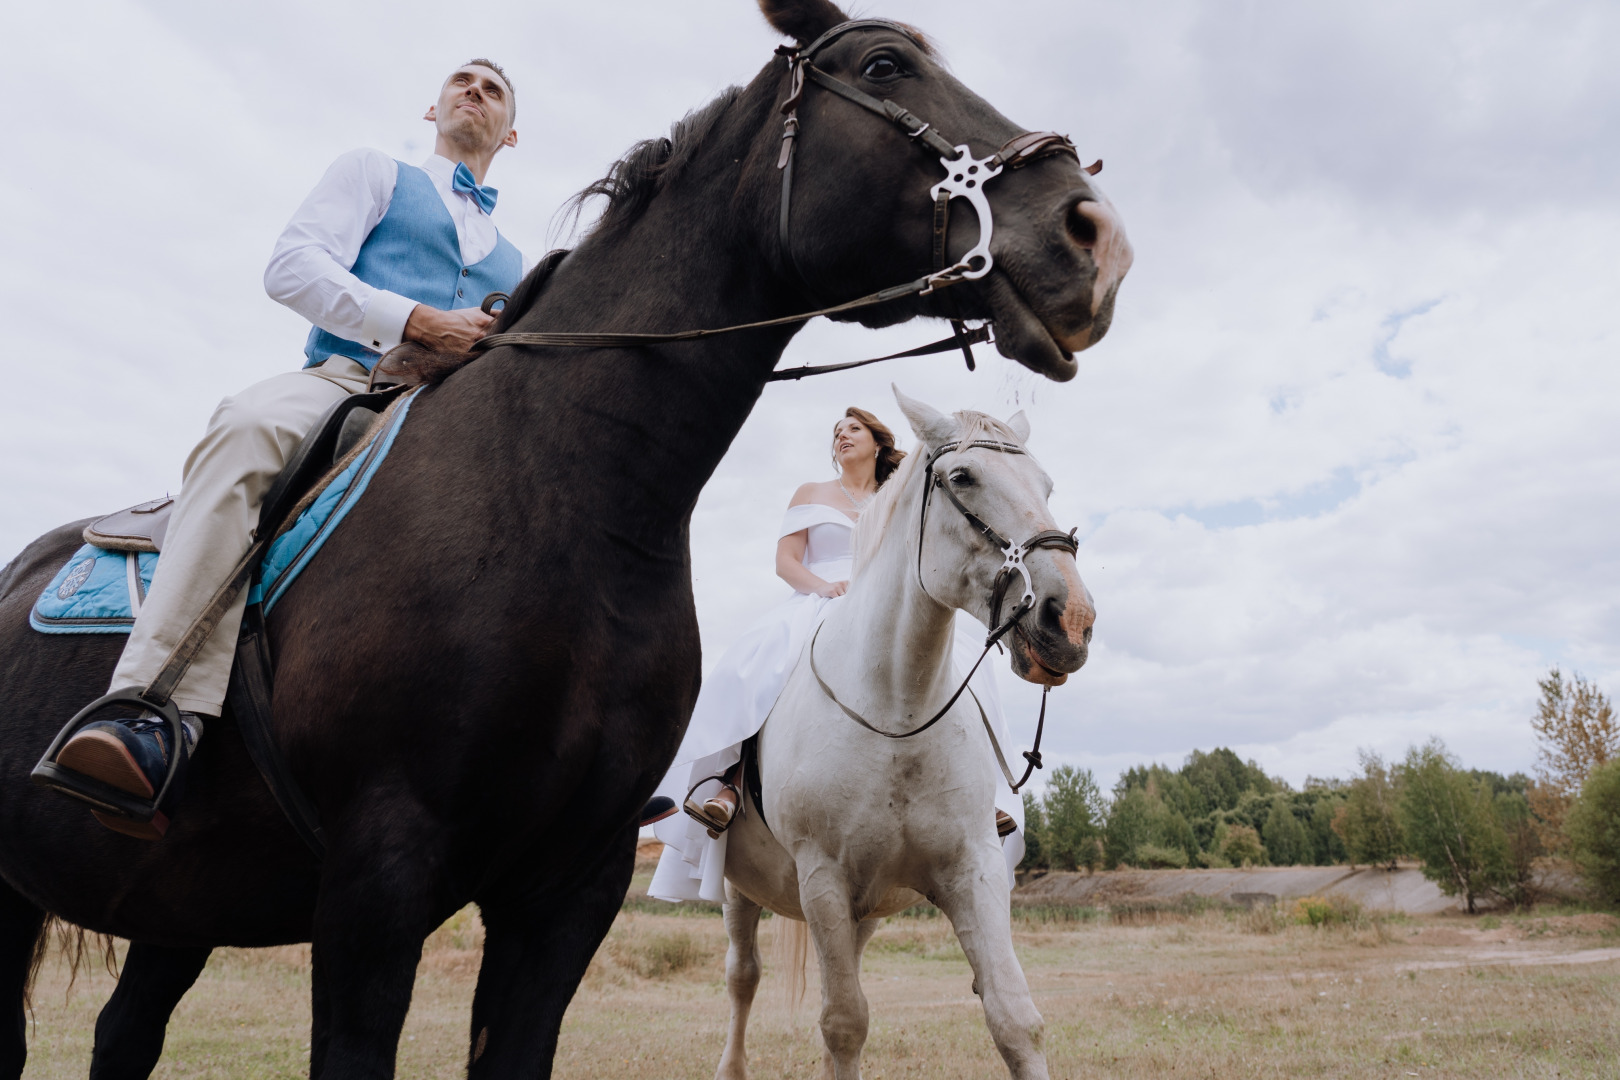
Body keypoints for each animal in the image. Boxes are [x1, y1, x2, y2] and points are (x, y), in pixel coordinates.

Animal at [716, 390, 1095, 1080]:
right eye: (962, 477)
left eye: (1046, 485)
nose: (1072, 621)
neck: (897, 713)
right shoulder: (823, 878)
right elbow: (844, 1024)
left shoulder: (973, 868)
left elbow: (1015, 1017)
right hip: (739, 889)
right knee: (743, 977)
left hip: (863, 910)